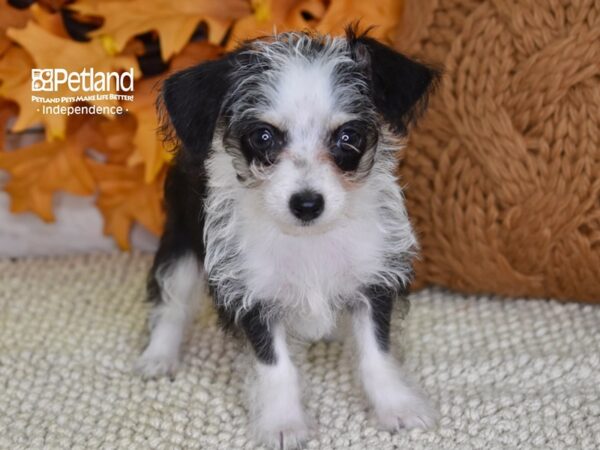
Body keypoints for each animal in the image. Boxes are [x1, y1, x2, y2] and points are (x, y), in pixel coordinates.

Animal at [138, 27, 442, 446]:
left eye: (348, 137)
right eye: (263, 136)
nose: (307, 204)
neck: (308, 241)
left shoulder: (373, 282)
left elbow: (377, 354)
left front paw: (396, 406)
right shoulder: (252, 295)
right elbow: (276, 366)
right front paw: (283, 424)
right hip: (180, 244)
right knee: (171, 303)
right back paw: (159, 356)